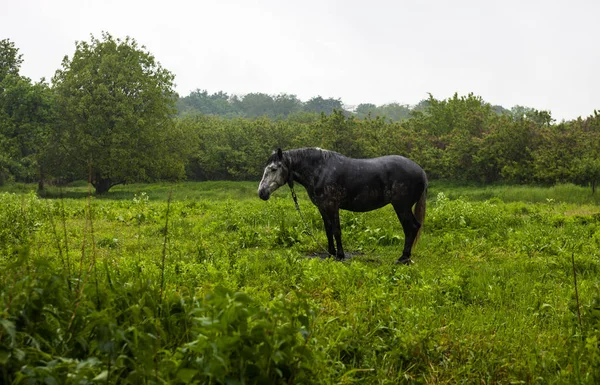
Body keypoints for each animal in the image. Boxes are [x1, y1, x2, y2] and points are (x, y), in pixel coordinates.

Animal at [258, 147, 426, 264]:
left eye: (274, 168)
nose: (261, 193)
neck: (320, 170)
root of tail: (421, 171)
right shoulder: (322, 208)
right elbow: (328, 230)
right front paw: (330, 253)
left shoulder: (332, 206)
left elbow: (337, 231)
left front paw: (340, 255)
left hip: (402, 207)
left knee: (411, 228)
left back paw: (403, 258)